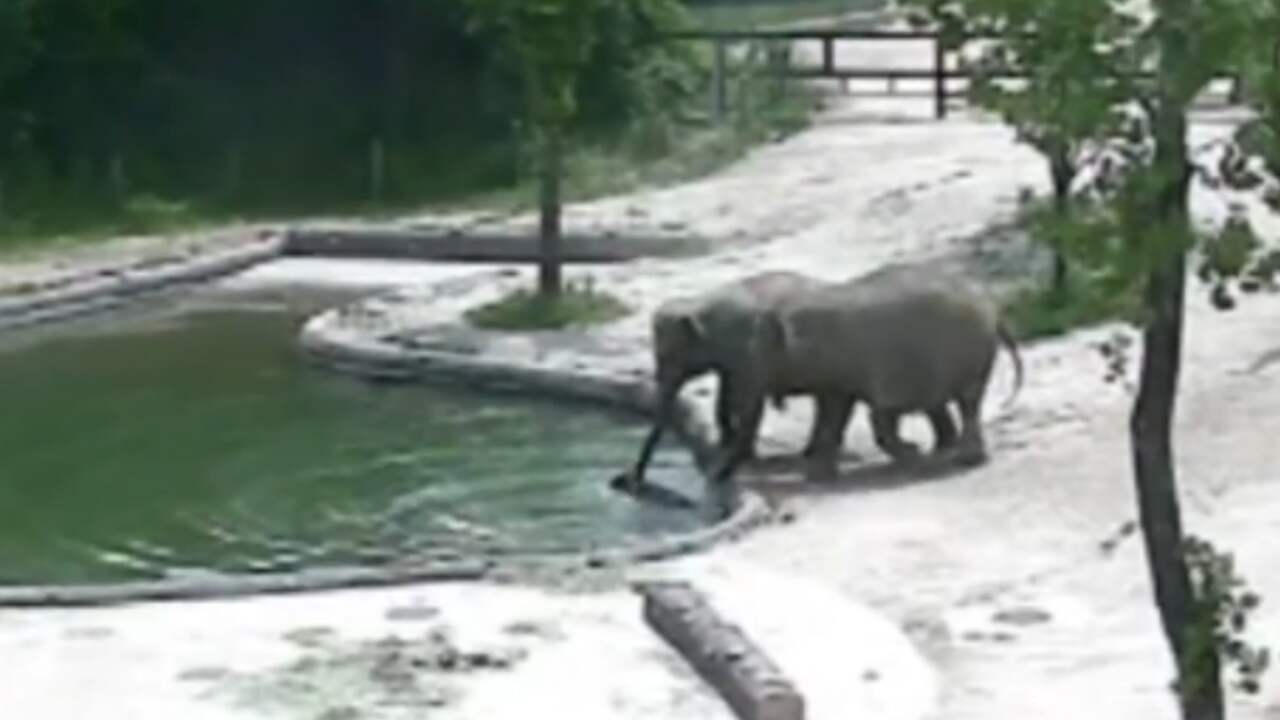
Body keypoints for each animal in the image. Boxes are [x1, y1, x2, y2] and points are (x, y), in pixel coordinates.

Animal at [716, 258, 1024, 481]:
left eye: (761, 354)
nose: (722, 477)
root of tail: (994, 309)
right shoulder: (836, 371)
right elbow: (835, 411)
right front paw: (819, 477)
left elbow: (874, 414)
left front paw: (914, 457)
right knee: (966, 403)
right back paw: (957, 456)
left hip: (970, 351)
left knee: (967, 401)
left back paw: (964, 460)